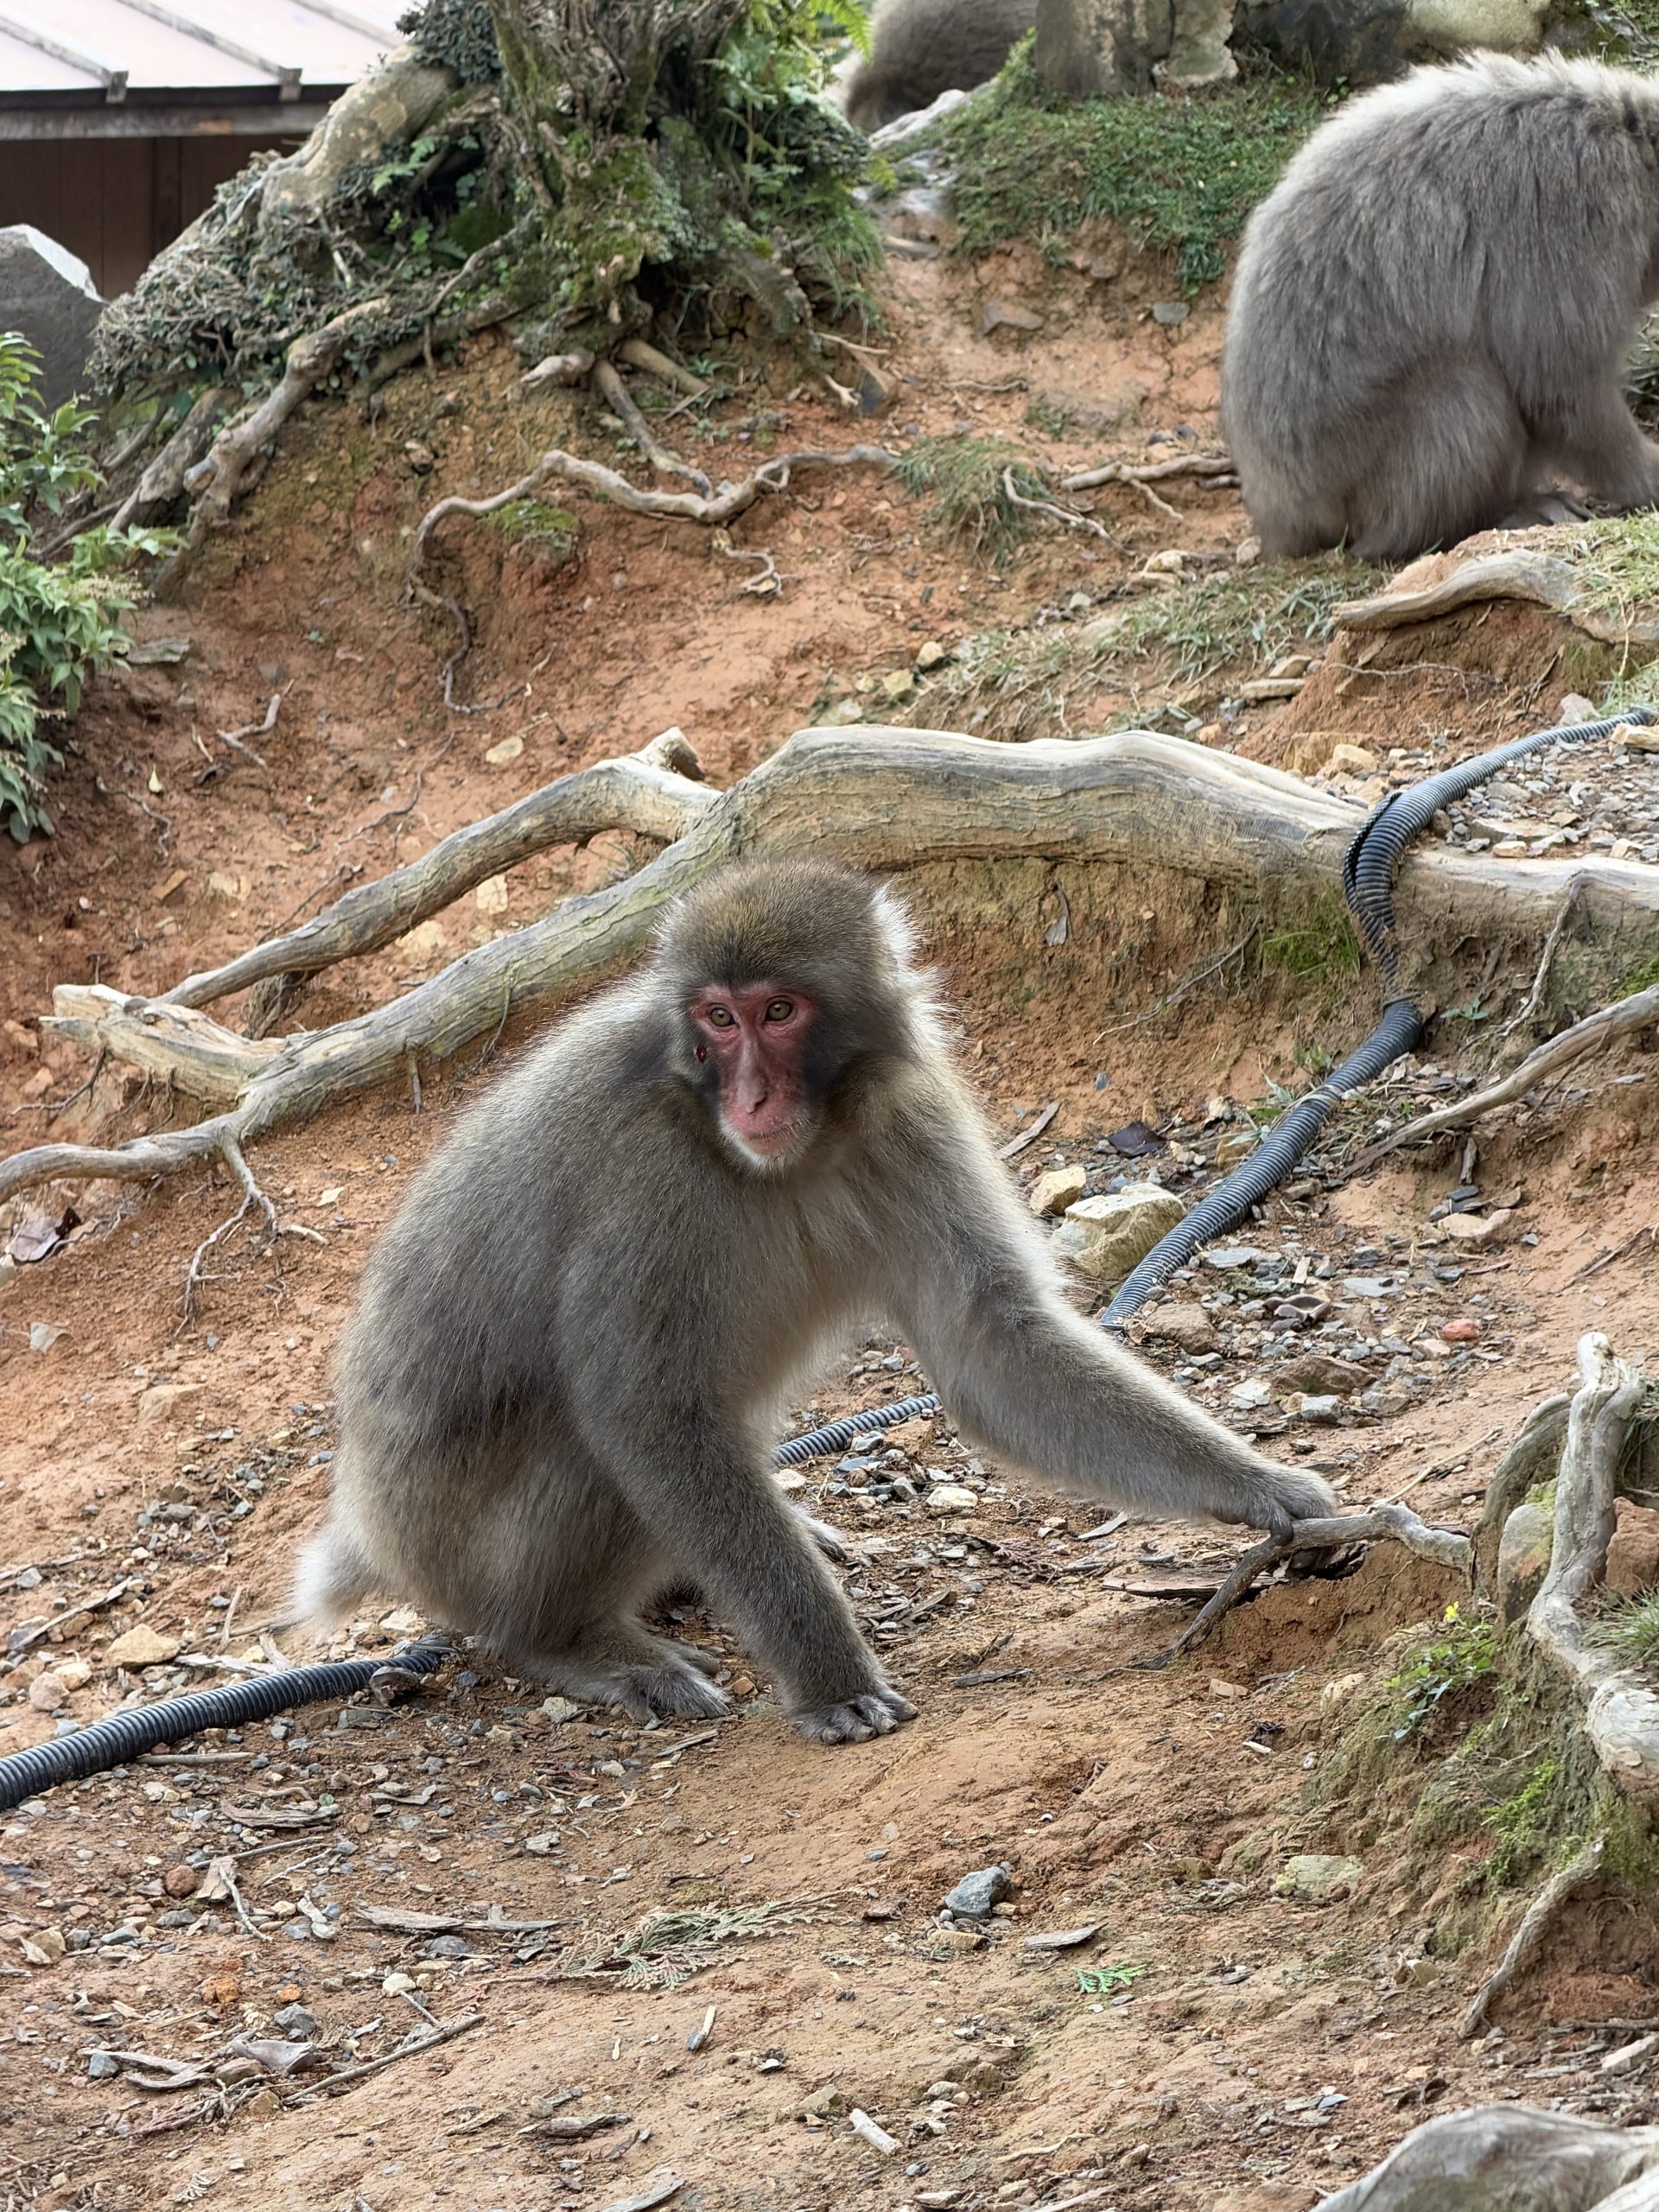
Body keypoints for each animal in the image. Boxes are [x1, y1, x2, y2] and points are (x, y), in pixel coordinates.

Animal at [294, 858, 1335, 1746]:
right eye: (718, 1020)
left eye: (779, 1011)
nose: (750, 1094)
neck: (781, 1153)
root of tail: (375, 1531)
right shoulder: (645, 1174)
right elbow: (646, 1410)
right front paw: (833, 1677)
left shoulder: (909, 1114)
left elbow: (992, 1345)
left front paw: (1264, 1490)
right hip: (459, 1549)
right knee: (591, 1445)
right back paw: (568, 1638)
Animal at [1221, 54, 1659, 564]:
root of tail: (1276, 512)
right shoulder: (1580, 217)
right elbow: (1561, 387)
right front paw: (1648, 476)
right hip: (1349, 472)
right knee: (1464, 391)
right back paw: (1493, 514)